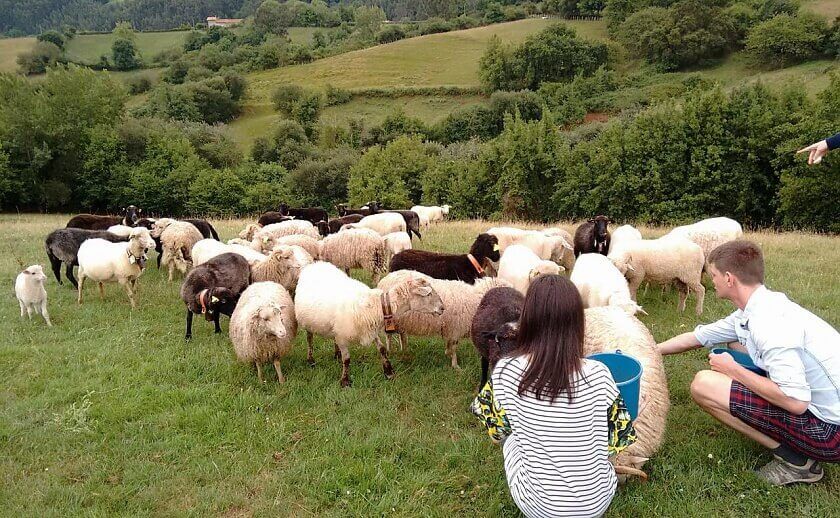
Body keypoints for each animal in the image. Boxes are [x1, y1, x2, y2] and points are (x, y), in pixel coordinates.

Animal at [294, 262, 442, 388]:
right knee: (309, 339)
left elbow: (382, 349)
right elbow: (347, 359)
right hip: (306, 322)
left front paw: (388, 372)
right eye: (429, 294)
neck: (376, 305)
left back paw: (336, 354)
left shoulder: (371, 330)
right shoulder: (342, 337)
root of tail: (314, 264)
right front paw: (345, 381)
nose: (442, 308)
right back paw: (310, 359)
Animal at [378, 272, 506, 374]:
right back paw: (390, 351)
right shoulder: (455, 327)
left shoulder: (451, 328)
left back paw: (404, 350)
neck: (476, 300)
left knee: (401, 335)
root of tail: (385, 279)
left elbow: (450, 344)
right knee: (389, 336)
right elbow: (454, 347)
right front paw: (455, 366)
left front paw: (447, 353)